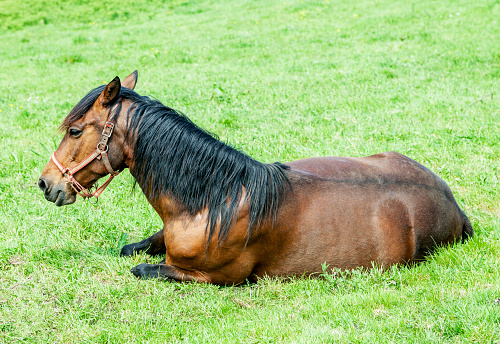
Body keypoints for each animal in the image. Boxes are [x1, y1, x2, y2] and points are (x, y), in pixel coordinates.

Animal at [39, 71, 472, 284]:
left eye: (75, 131)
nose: (46, 183)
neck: (213, 200)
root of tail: (453, 204)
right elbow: (131, 249)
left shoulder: (216, 277)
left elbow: (143, 268)